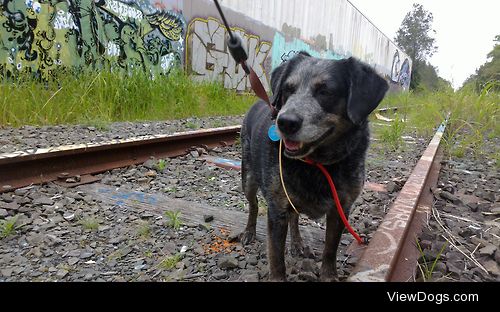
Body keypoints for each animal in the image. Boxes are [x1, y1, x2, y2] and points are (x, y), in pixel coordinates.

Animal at [240, 52, 388, 282]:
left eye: (325, 91)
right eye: (288, 89)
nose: (285, 122)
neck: (317, 164)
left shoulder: (340, 209)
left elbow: (330, 249)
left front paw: (329, 275)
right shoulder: (277, 209)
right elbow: (276, 258)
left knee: (294, 217)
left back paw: (298, 243)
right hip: (248, 178)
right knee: (254, 205)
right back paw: (249, 232)